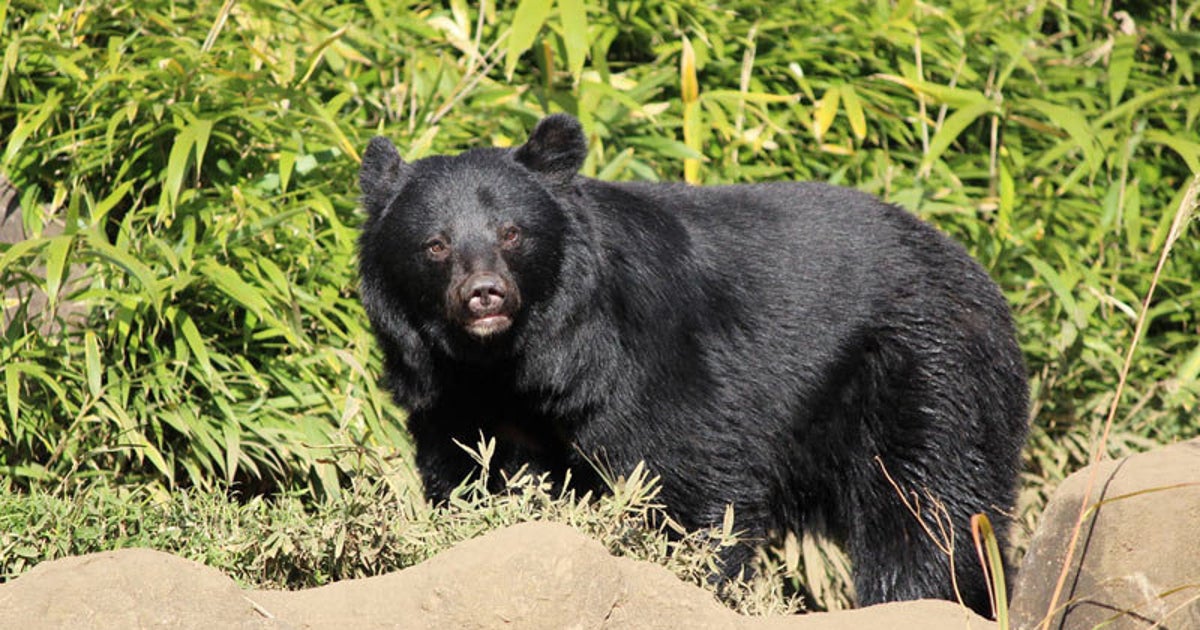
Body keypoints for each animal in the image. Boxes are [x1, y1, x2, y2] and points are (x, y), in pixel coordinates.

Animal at [355, 114, 1032, 614]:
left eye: (512, 233)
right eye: (435, 245)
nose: (485, 296)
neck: (514, 358)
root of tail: (981, 276)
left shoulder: (645, 362)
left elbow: (685, 479)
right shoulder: (452, 397)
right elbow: (472, 476)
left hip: (925, 374)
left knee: (928, 508)